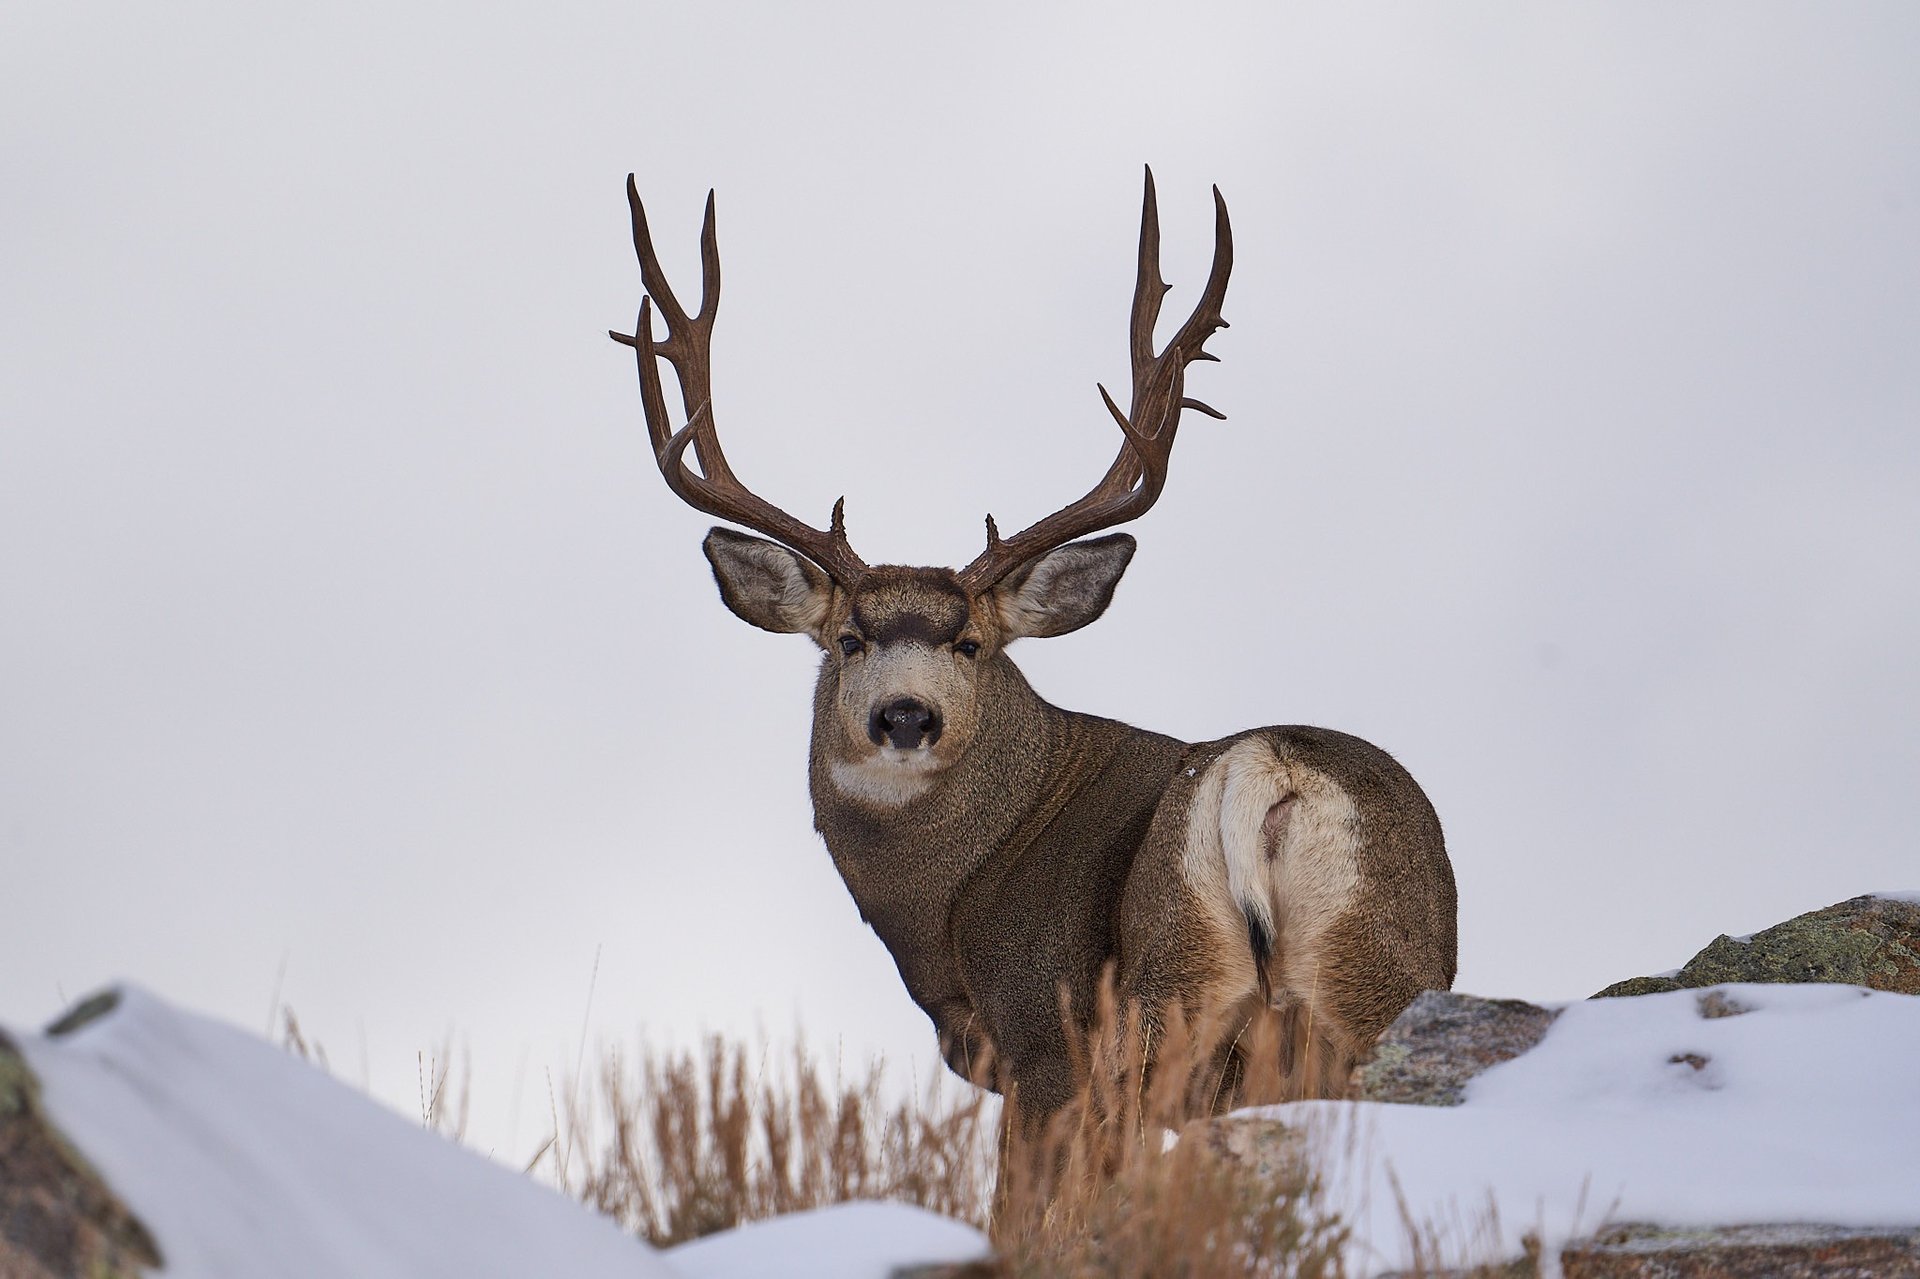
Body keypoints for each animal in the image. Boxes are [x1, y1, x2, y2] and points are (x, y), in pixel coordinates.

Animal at [610, 168, 1451, 1129]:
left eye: (972, 642)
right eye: (850, 638)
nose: (906, 715)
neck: (947, 912)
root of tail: (1273, 772)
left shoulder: (1039, 1040)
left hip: (1163, 1000)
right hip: (1368, 983)